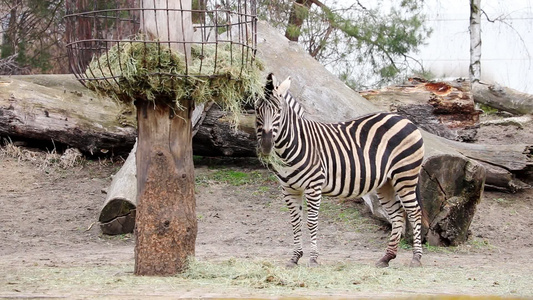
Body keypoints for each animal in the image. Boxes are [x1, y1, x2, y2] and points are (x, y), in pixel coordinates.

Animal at [256, 74, 426, 268]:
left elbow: (311, 222)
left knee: (414, 212)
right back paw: (386, 257)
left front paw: (313, 259)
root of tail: (405, 119)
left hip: (405, 175)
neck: (294, 145)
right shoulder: (289, 189)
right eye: (257, 109)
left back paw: (416, 258)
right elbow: (295, 223)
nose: (266, 145)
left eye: (278, 110)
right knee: (397, 214)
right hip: (386, 182)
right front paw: (295, 257)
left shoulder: (313, 186)